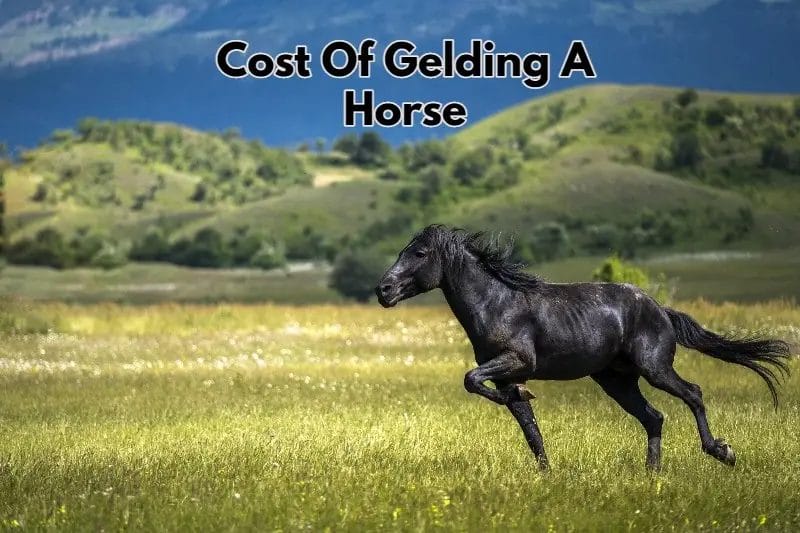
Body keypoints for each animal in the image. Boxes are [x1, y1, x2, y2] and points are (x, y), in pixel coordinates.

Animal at [374, 224, 792, 471]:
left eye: (419, 253)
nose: (383, 290)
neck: (497, 303)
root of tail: (660, 309)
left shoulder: (516, 360)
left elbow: (471, 379)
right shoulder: (506, 373)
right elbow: (527, 425)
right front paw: (545, 472)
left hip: (655, 368)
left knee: (693, 393)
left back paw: (722, 452)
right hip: (616, 381)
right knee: (654, 417)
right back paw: (652, 475)